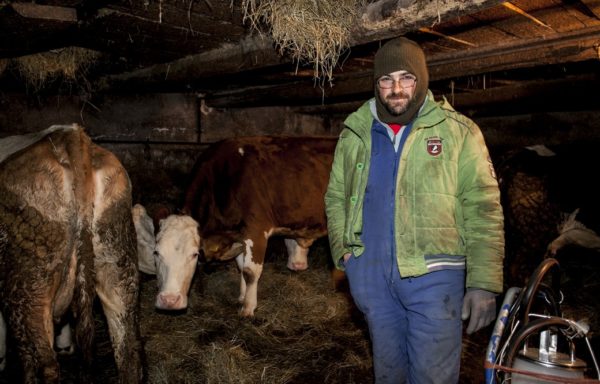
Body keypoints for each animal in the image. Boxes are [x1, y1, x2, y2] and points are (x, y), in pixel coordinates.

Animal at [152, 136, 336, 316]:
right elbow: (241, 267)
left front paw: (248, 307)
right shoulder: (239, 236)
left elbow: (250, 272)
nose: (169, 300)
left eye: (194, 254)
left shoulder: (256, 231)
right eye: (156, 253)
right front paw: (241, 297)